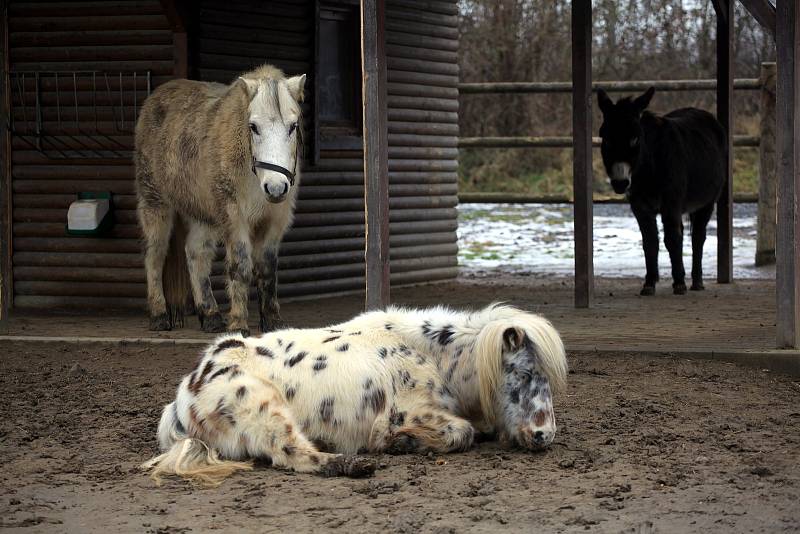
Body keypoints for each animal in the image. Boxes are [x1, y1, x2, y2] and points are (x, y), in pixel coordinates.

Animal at [136, 66, 304, 336]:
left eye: (293, 126)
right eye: (253, 126)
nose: (276, 188)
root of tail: (154, 98)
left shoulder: (275, 219)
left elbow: (267, 268)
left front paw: (273, 322)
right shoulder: (234, 216)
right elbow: (240, 266)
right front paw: (238, 323)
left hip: (202, 213)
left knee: (196, 254)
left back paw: (210, 315)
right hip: (154, 201)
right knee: (155, 254)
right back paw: (159, 315)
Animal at [141, 304, 564, 488]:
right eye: (524, 373)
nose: (544, 436)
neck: (432, 357)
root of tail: (186, 393)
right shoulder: (413, 413)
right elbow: (463, 433)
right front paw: (400, 443)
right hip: (264, 407)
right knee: (291, 455)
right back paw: (355, 464)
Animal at [600, 89, 724, 298]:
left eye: (635, 139)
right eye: (606, 139)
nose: (620, 183)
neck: (648, 169)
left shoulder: (671, 202)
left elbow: (672, 239)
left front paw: (679, 283)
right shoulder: (640, 206)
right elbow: (650, 241)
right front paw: (649, 283)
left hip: (707, 202)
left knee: (697, 237)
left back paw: (696, 282)